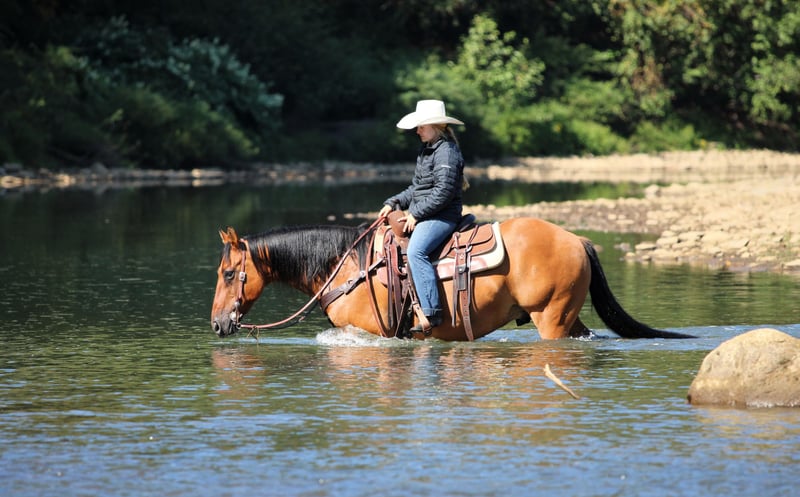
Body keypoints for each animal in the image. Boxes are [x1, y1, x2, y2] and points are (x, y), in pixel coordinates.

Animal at [211, 217, 693, 341]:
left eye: (229, 272)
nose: (217, 323)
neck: (349, 268)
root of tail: (576, 239)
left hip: (551, 319)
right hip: (569, 316)